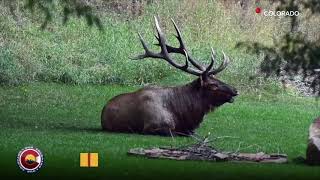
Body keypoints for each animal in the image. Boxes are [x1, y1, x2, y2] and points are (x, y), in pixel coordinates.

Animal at [101, 16, 239, 136]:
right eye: (213, 85)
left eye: (218, 78)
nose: (235, 90)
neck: (184, 115)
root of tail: (103, 110)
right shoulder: (152, 126)